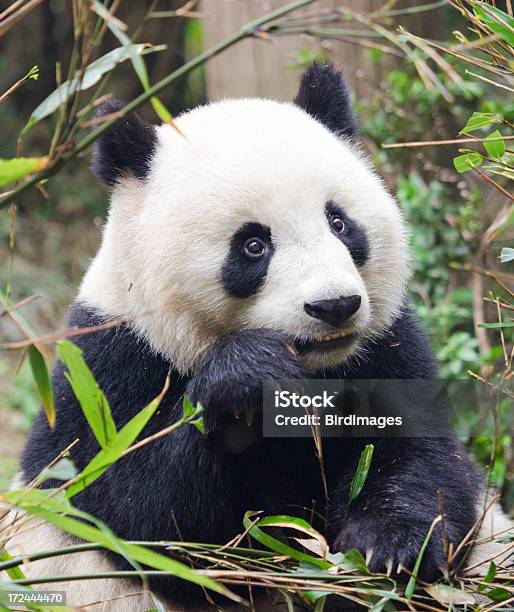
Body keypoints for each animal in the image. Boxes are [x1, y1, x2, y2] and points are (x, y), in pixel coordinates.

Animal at [4, 64, 512, 608]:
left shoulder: (386, 345)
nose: (334, 306)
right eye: (253, 245)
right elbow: (141, 518)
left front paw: (391, 549)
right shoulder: (106, 365)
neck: (315, 373)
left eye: (339, 222)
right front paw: (248, 377)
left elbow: (423, 458)